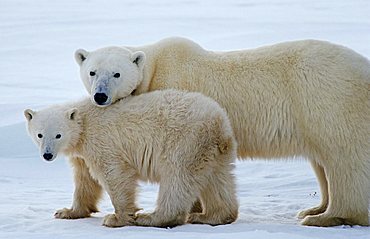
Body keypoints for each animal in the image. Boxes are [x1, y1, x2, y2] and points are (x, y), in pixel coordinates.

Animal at [23, 89, 237, 228]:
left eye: (58, 135)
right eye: (40, 135)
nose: (47, 154)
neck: (84, 122)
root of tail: (218, 124)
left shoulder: (102, 141)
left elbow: (114, 174)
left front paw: (116, 218)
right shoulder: (82, 155)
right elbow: (85, 181)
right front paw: (66, 212)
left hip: (184, 141)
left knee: (177, 178)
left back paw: (152, 217)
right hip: (213, 152)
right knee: (217, 180)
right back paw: (212, 216)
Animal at [74, 37, 370, 226]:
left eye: (116, 74)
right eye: (92, 72)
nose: (100, 96)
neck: (154, 67)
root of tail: (364, 69)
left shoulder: (175, 91)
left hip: (327, 98)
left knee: (343, 157)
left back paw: (327, 217)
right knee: (321, 160)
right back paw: (315, 207)